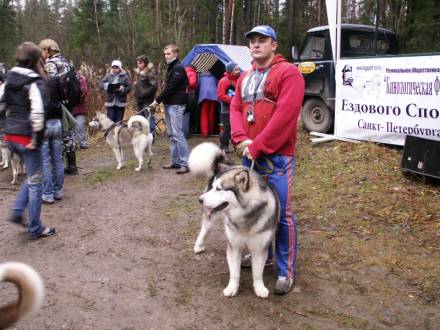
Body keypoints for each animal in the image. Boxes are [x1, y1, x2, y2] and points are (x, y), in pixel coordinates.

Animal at [188, 142, 278, 300]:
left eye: (219, 189)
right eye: (214, 187)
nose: (200, 200)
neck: (245, 217)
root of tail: (227, 164)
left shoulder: (260, 247)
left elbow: (257, 273)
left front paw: (259, 288)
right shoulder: (234, 246)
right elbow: (235, 272)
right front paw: (232, 288)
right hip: (213, 216)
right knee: (205, 228)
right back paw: (199, 245)